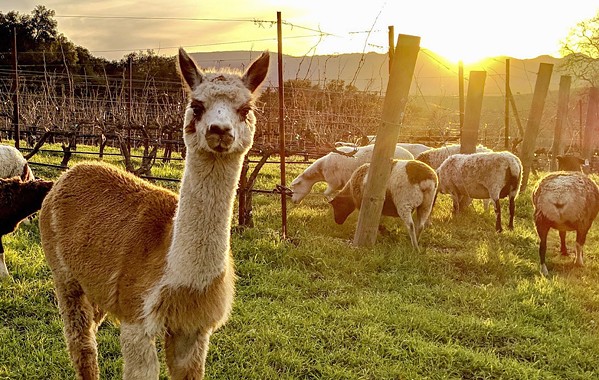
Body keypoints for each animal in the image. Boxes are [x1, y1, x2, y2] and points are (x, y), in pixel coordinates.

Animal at [39, 47, 270, 380]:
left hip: (95, 284)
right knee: (82, 346)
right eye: (196, 106)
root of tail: (71, 172)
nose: (219, 130)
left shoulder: (193, 329)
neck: (183, 279)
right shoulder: (137, 317)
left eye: (245, 108)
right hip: (64, 275)